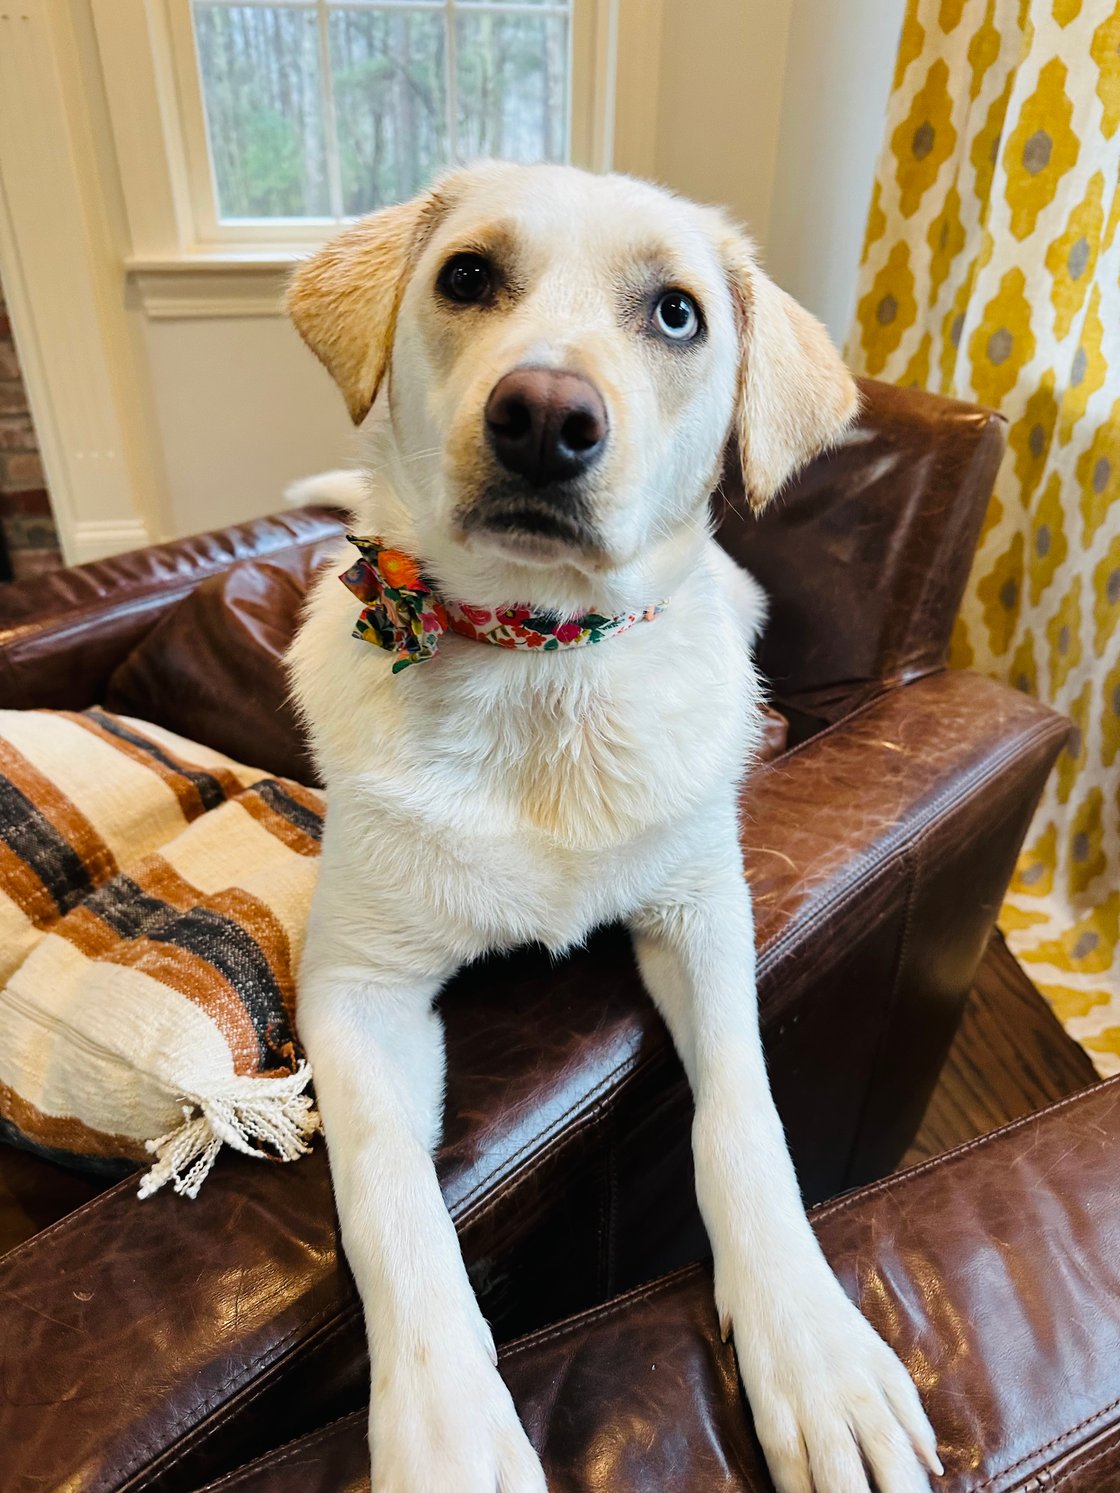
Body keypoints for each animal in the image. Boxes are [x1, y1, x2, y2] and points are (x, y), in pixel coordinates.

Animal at [285, 163, 943, 1493]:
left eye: (677, 313)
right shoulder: (354, 982)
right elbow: (386, 1189)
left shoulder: (705, 908)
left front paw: (814, 1347)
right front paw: (446, 1426)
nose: (544, 417)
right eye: (467, 275)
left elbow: (744, 1108)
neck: (542, 665)